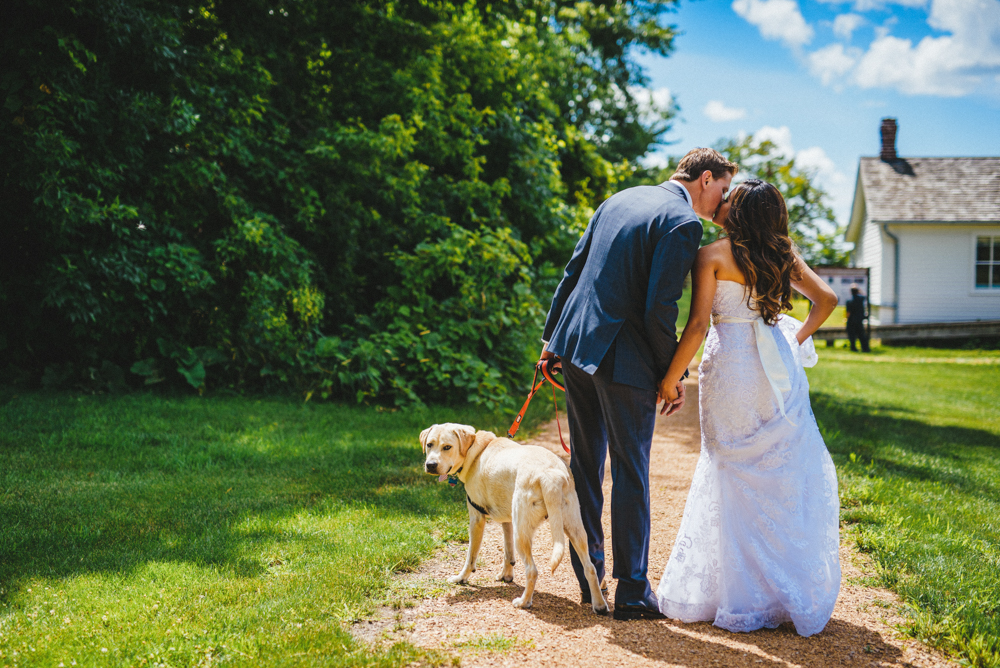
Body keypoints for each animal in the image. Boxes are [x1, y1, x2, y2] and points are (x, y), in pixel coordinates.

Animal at [416, 426, 604, 612]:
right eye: (429, 444)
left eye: (447, 447)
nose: (430, 465)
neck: (476, 451)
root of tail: (550, 475)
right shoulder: (507, 521)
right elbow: (507, 552)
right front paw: (506, 575)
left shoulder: (476, 519)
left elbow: (470, 557)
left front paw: (461, 578)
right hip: (575, 530)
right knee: (590, 568)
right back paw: (600, 605)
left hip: (522, 535)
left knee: (532, 571)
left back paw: (523, 602)